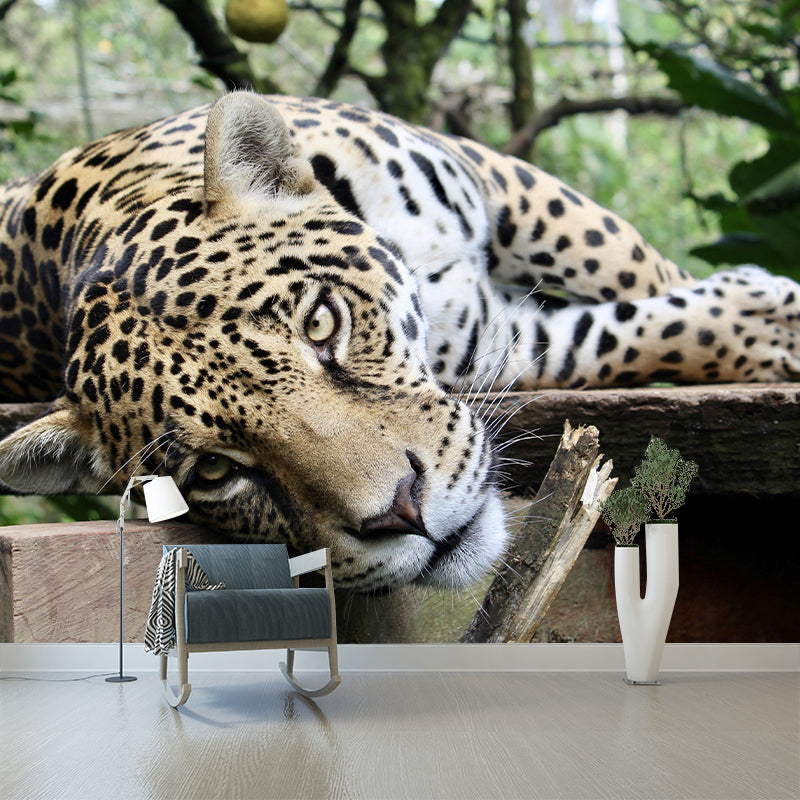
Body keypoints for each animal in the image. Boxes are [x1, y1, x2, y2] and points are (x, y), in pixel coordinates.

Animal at [0, 91, 797, 592]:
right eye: (213, 471)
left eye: (322, 323)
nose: (402, 513)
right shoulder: (501, 339)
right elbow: (631, 335)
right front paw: (764, 323)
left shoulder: (498, 176)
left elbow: (623, 258)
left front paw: (769, 309)